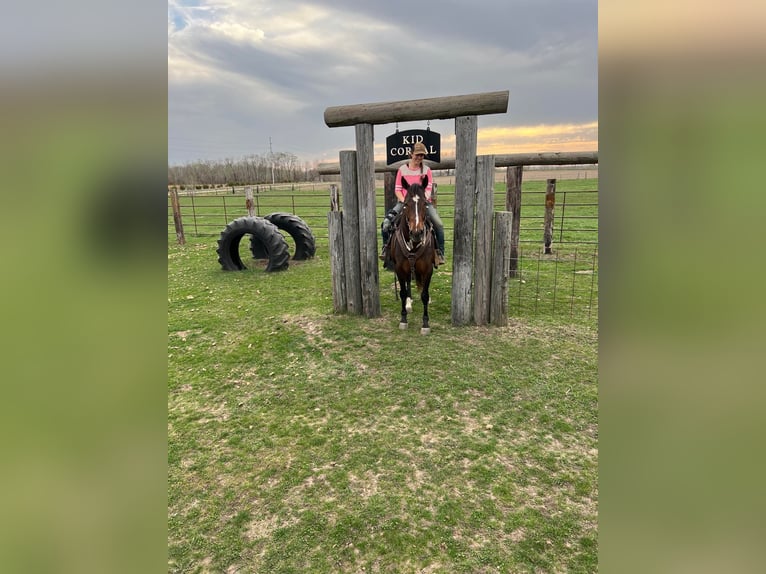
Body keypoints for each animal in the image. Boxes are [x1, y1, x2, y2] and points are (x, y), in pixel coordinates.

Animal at [390, 178, 438, 336]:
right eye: (405, 205)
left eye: (425, 204)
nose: (416, 233)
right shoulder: (399, 269)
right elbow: (403, 292)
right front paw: (403, 319)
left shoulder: (428, 269)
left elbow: (424, 295)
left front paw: (425, 324)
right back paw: (408, 304)